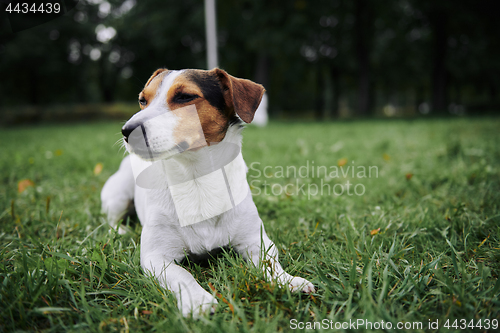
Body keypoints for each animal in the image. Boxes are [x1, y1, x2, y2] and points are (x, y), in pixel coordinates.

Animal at [99, 67, 314, 316]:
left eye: (184, 97)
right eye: (143, 100)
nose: (127, 131)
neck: (197, 179)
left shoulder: (256, 241)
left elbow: (269, 263)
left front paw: (287, 280)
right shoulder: (156, 257)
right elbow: (182, 275)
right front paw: (197, 299)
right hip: (118, 195)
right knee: (111, 220)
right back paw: (121, 231)